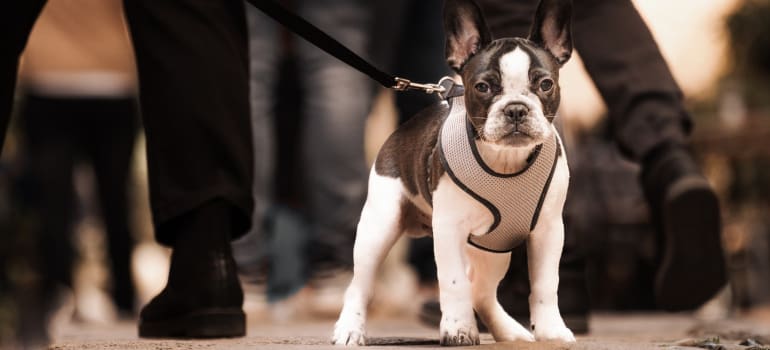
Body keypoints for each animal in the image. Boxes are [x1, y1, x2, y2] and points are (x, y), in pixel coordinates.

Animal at [332, 0, 572, 344]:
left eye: (545, 84)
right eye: (483, 87)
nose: (515, 108)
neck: (505, 160)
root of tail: (405, 127)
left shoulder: (549, 230)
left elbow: (545, 284)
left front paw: (551, 330)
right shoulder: (448, 229)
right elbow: (454, 282)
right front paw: (458, 328)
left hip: (494, 248)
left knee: (482, 292)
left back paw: (510, 331)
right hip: (378, 226)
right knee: (359, 285)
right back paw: (350, 329)